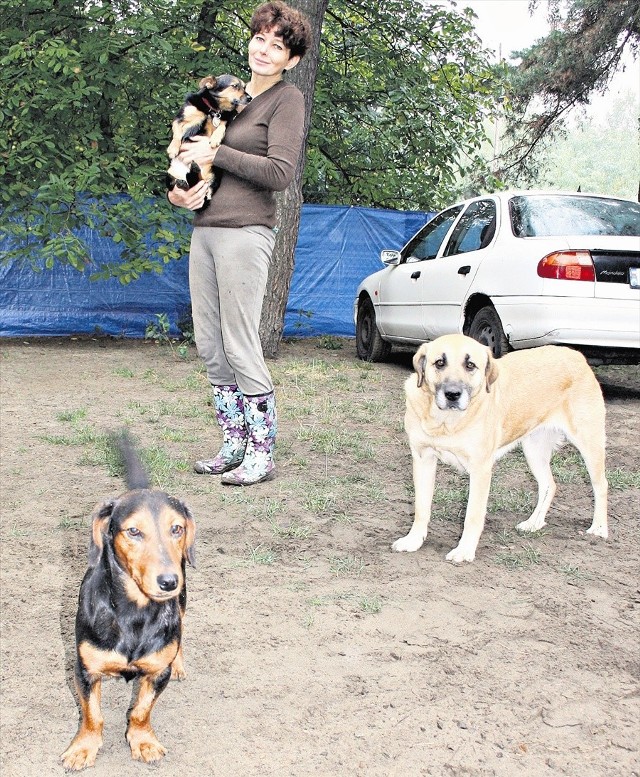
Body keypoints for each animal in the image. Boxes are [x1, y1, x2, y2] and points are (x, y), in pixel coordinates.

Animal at [64, 430, 198, 768]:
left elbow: (141, 710)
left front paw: (143, 741)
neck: (134, 613)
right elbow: (92, 714)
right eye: (133, 531)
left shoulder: (157, 673)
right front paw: (84, 746)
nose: (169, 582)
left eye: (177, 528)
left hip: (183, 603)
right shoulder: (84, 671)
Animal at [166, 73, 251, 203]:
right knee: (180, 183)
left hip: (214, 173)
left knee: (201, 185)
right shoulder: (180, 118)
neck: (213, 110)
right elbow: (177, 134)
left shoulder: (225, 119)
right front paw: (173, 149)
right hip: (170, 174)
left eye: (244, 87)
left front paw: (216, 138)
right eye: (235, 86)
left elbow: (222, 125)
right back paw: (183, 182)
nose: (250, 98)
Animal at [392, 334, 608, 564]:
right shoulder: (423, 459)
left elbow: (473, 515)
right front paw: (413, 540)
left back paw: (599, 528)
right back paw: (534, 523)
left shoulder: (480, 469)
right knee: (549, 484)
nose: (452, 394)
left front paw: (465, 550)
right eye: (439, 362)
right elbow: (421, 507)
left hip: (589, 441)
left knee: (601, 484)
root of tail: (576, 355)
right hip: (533, 449)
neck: (446, 422)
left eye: (470, 365)